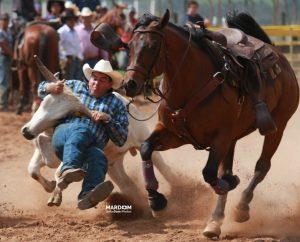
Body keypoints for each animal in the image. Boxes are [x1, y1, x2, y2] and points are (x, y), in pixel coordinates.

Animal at [118, 9, 298, 238]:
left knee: (261, 166)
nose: (129, 84)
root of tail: (277, 54)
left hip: (277, 127)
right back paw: (216, 219)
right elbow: (146, 148)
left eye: (152, 45)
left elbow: (210, 173)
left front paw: (230, 186)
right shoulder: (174, 134)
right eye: (129, 45)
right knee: (229, 169)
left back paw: (240, 208)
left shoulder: (220, 137)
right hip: (233, 139)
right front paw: (155, 199)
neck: (192, 84)